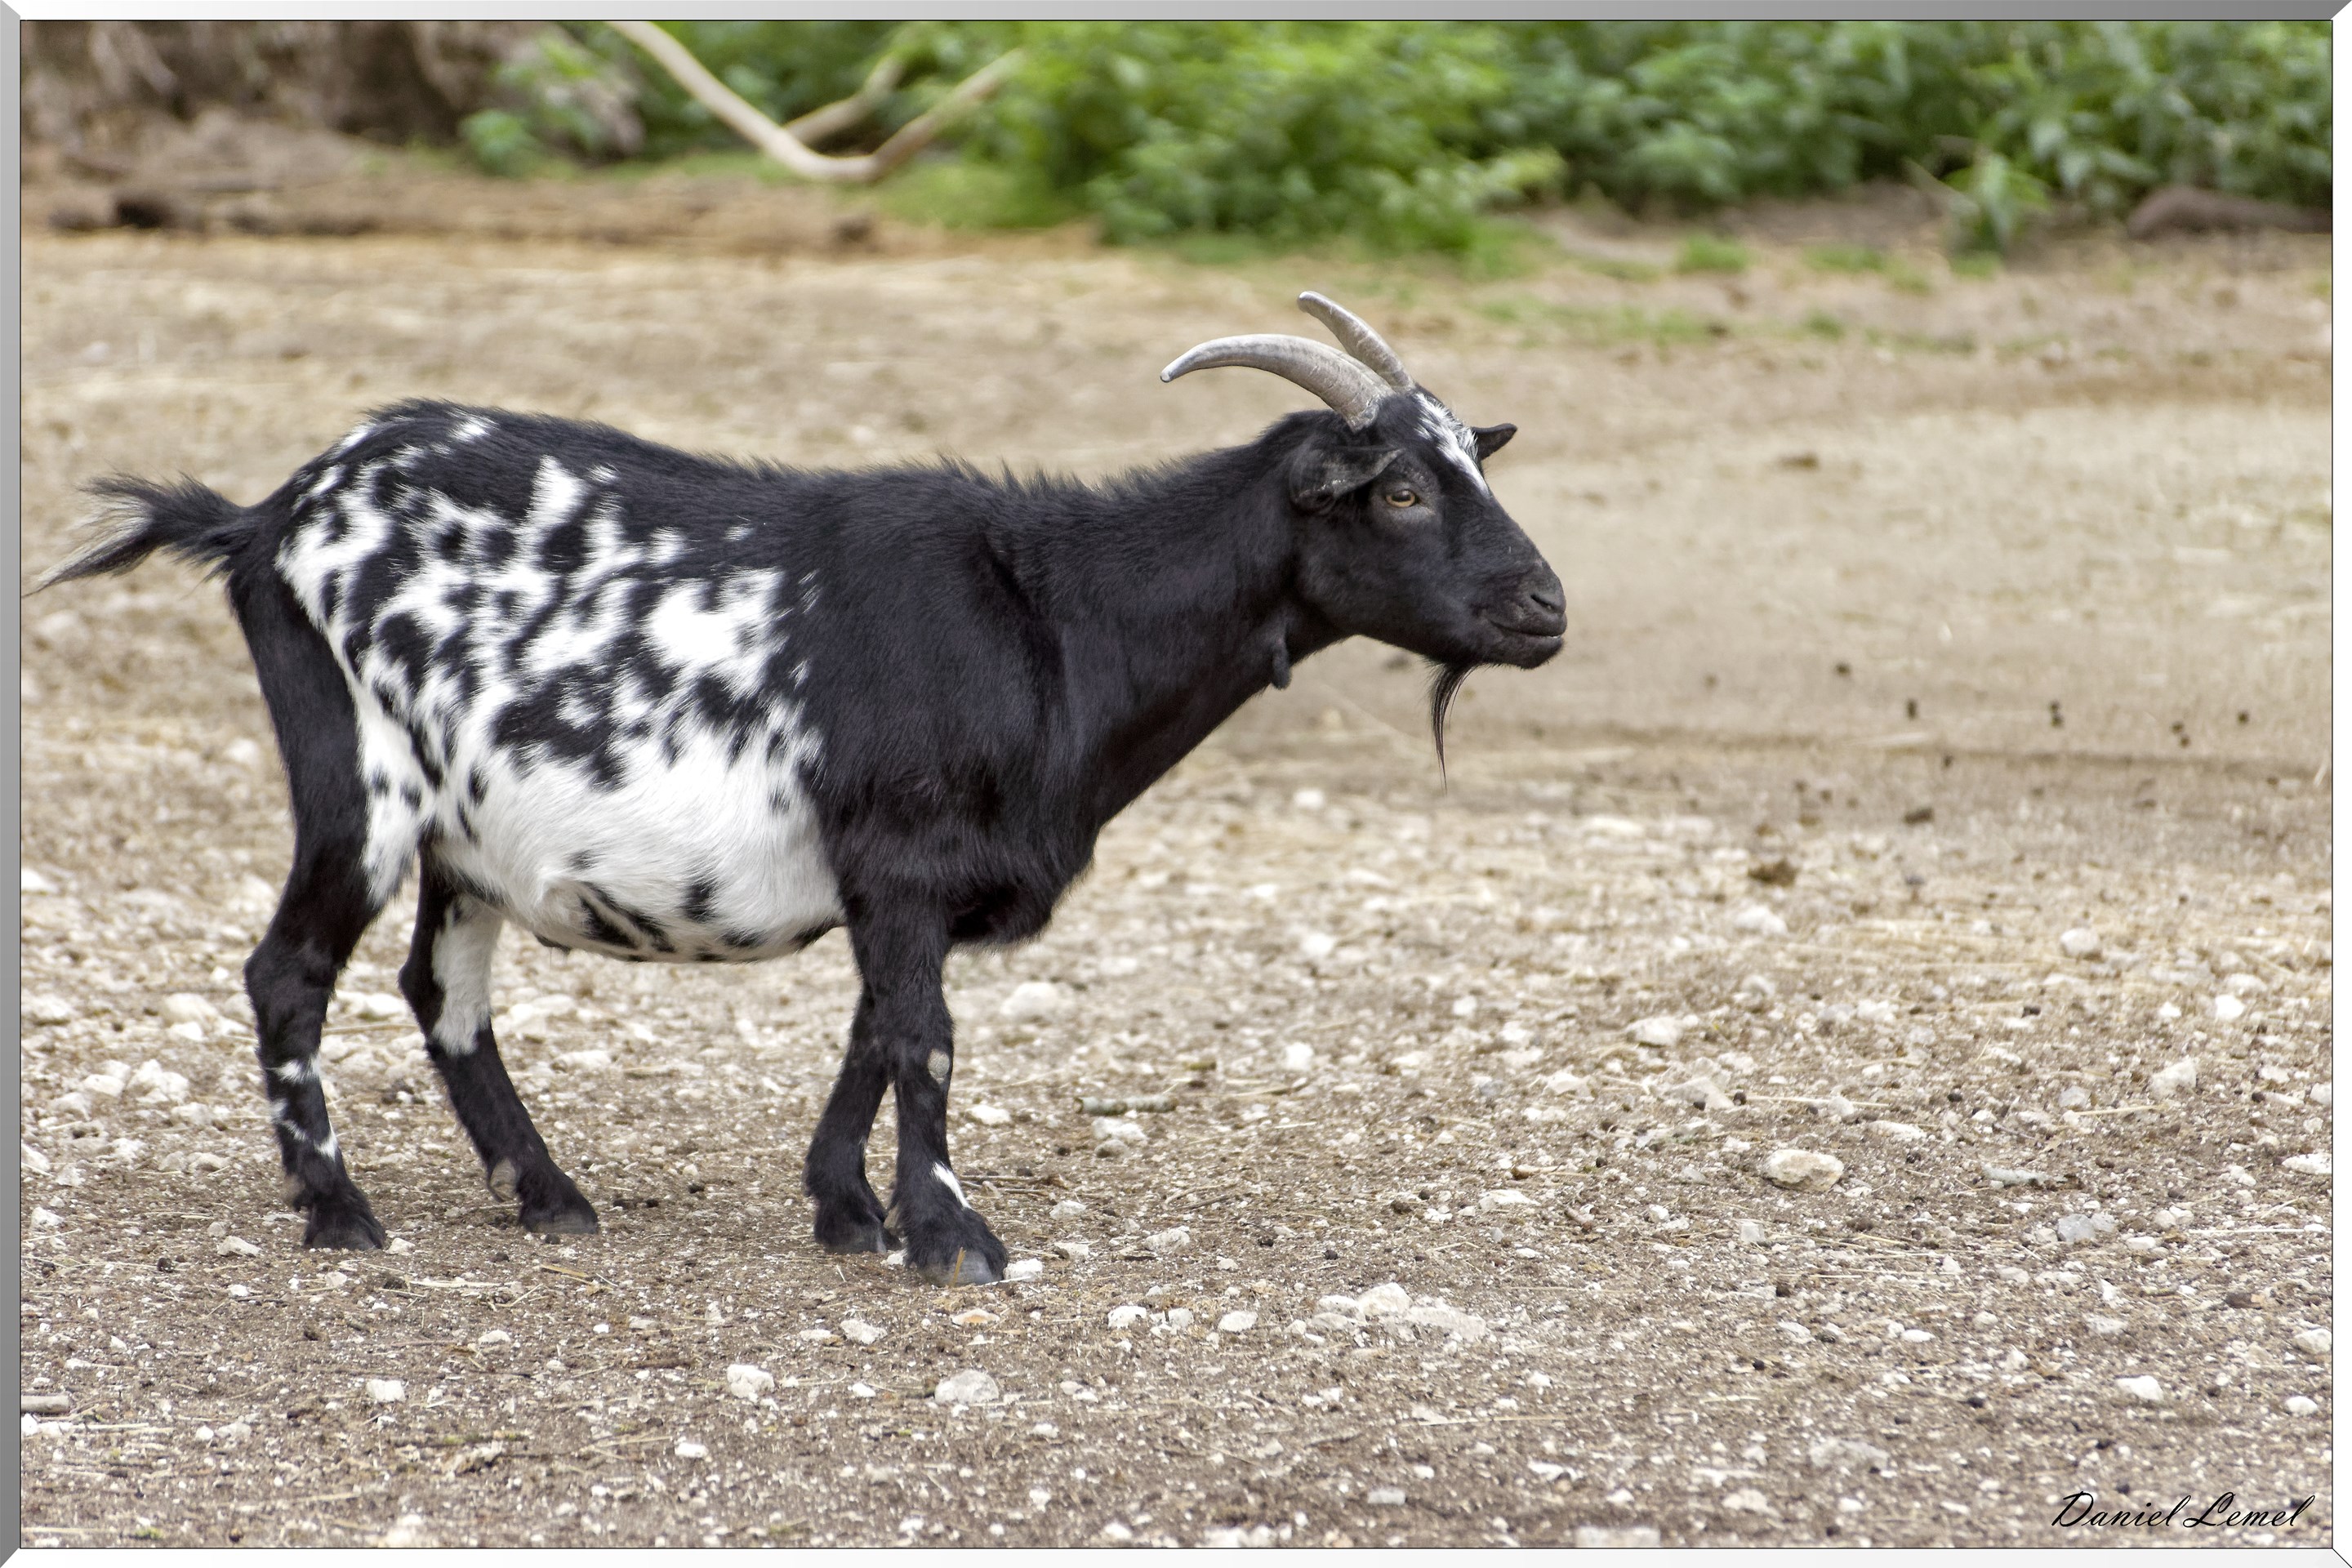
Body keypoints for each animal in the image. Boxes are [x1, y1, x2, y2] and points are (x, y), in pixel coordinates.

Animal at [41, 292, 1565, 1284]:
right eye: (1399, 493)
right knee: (288, 972)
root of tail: (266, 521)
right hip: (357, 783)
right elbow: (926, 1040)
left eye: (1473, 468)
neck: (1049, 611)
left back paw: (549, 1196)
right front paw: (950, 1239)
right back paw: (340, 1213)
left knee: (442, 991)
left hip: (466, 837)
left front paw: (848, 1212)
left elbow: (874, 1031)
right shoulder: (903, 856)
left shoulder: (897, 884)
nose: (1545, 609)